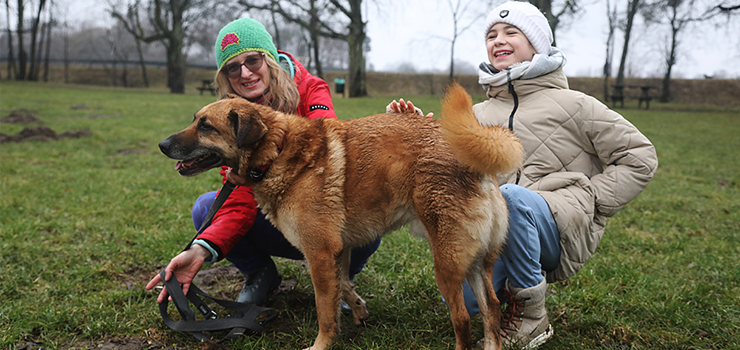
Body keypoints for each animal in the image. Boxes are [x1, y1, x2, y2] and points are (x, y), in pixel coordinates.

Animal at [159, 82, 524, 350]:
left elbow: (325, 311)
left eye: (206, 126)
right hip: (475, 262)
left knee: (462, 318)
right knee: (491, 309)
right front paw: (358, 309)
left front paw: (321, 344)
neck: (278, 151)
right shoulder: (337, 249)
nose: (163, 145)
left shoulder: (319, 253)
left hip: (446, 264)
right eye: (195, 119)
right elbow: (343, 285)